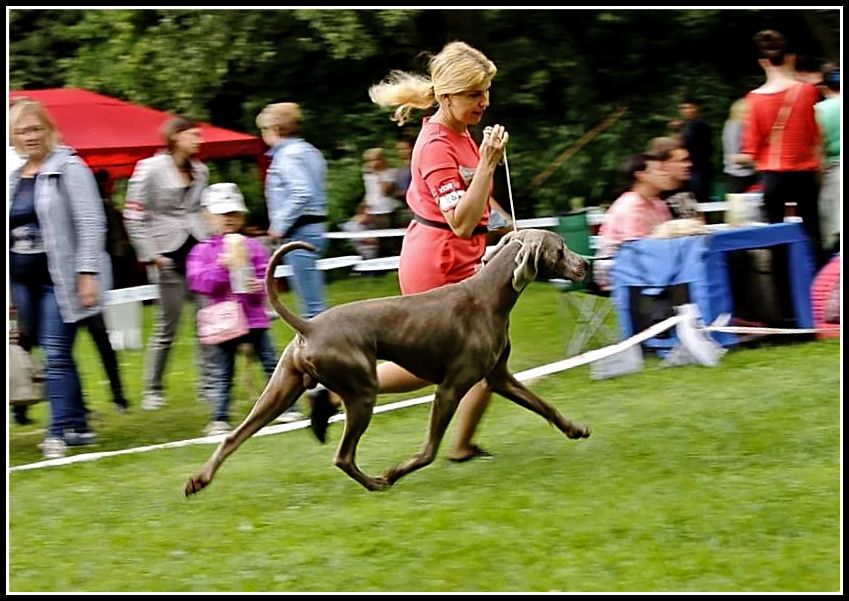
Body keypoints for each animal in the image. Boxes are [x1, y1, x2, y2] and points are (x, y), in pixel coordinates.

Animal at [185, 229, 588, 492]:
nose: (585, 263)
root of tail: (309, 326)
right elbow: (428, 450)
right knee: (343, 456)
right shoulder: (450, 387)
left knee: (233, 437)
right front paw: (396, 471)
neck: (489, 295)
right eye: (561, 248)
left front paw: (575, 429)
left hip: (281, 390)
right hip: (363, 391)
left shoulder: (498, 376)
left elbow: (545, 406)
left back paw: (199, 480)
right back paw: (377, 483)